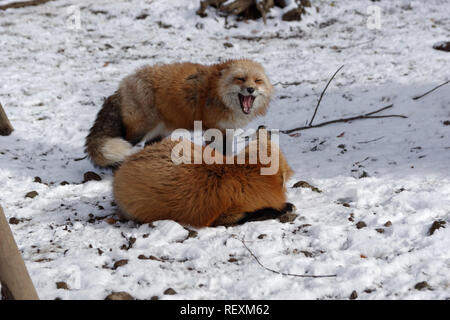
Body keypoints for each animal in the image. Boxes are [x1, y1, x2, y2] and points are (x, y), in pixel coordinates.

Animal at [85, 58, 272, 168]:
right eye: (240, 79)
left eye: (257, 80)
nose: (250, 89)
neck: (217, 94)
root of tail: (123, 84)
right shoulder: (214, 130)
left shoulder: (228, 130)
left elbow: (227, 153)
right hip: (138, 131)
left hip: (159, 133)